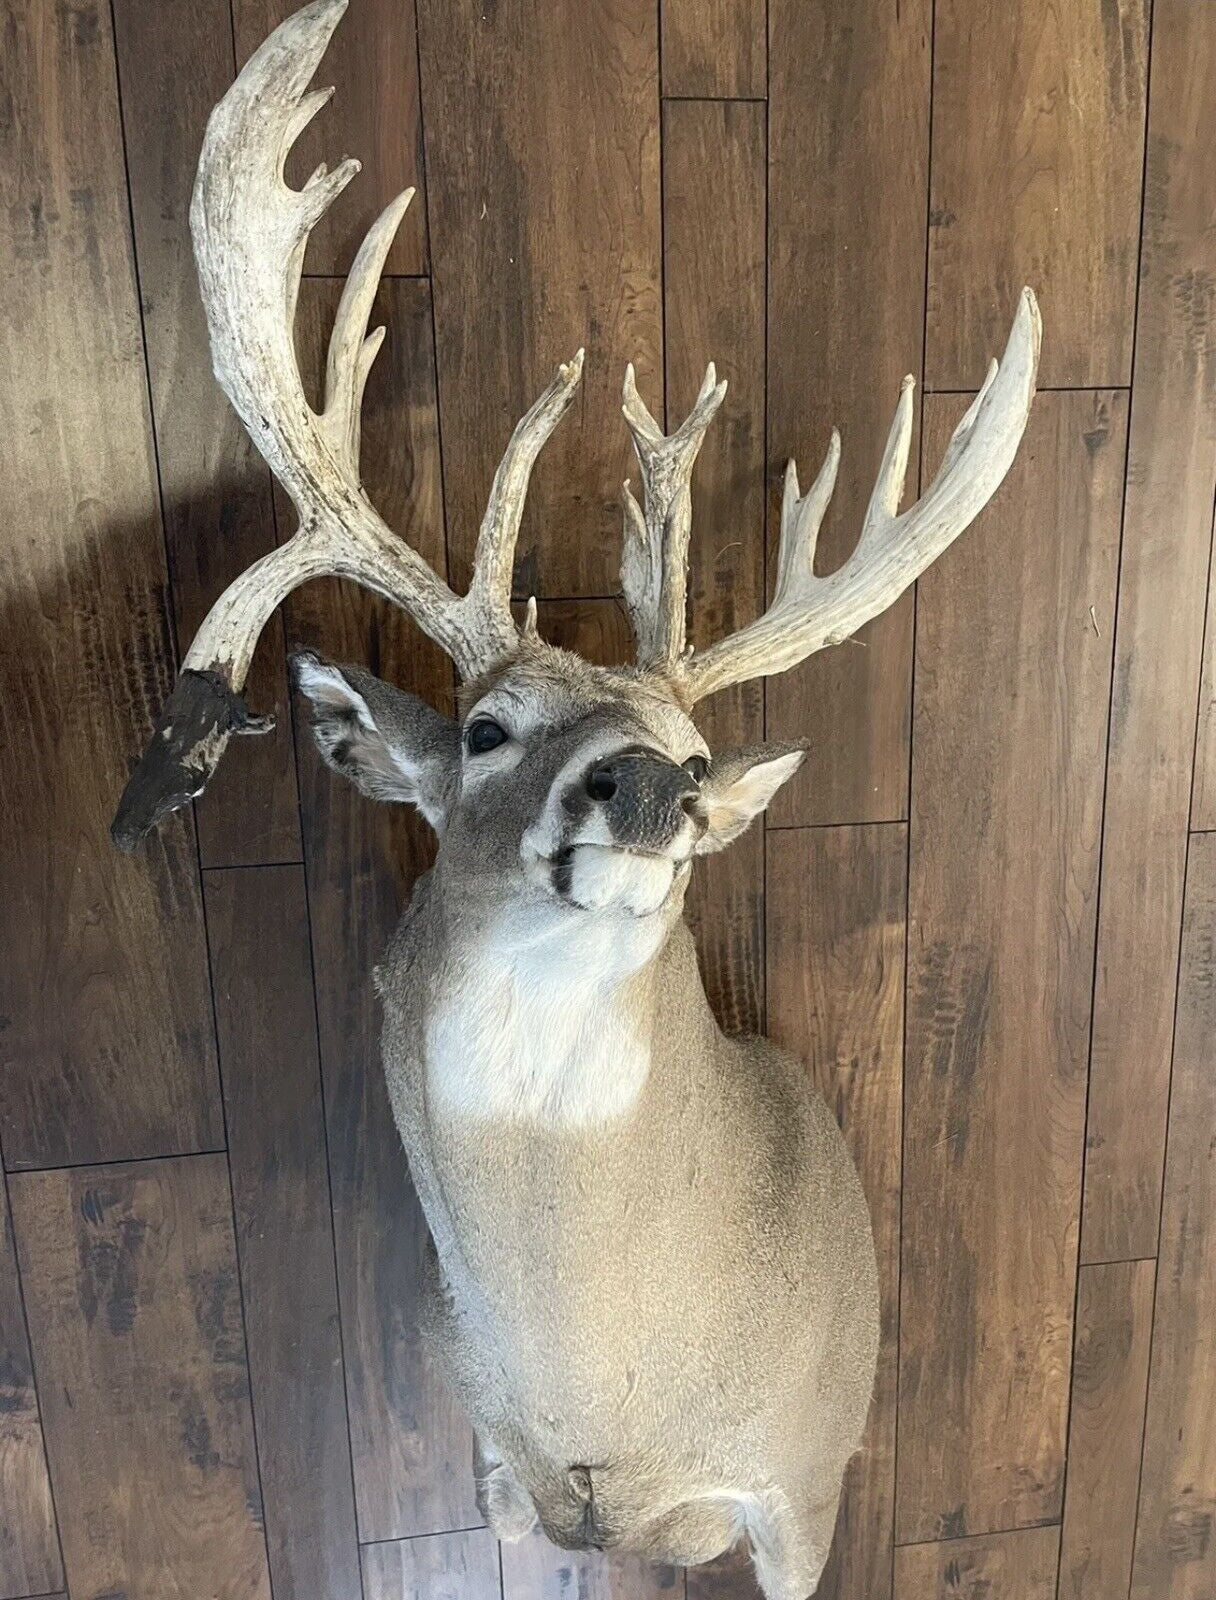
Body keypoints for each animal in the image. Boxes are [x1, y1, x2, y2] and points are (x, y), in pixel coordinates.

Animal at [110, 2, 1041, 1594]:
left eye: (706, 760)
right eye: (486, 729)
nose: (650, 781)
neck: (609, 1402)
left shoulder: (803, 1491)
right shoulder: (493, 1473)